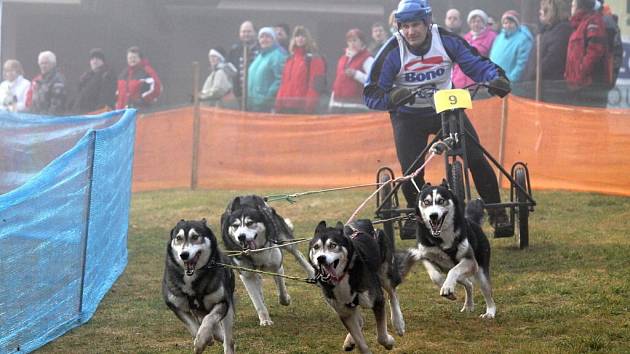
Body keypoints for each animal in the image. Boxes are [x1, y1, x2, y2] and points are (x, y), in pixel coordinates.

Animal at [163, 218, 237, 354]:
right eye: (178, 238)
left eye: (195, 237)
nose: (184, 255)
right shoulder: (174, 305)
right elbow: (192, 325)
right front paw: (203, 339)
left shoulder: (222, 302)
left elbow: (209, 319)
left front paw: (201, 341)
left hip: (228, 309)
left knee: (228, 339)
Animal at [221, 195, 314, 324]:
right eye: (235, 225)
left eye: (250, 223)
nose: (241, 237)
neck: (256, 252)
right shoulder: (246, 275)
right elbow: (257, 301)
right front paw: (265, 320)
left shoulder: (277, 266)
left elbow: (281, 289)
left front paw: (286, 299)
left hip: (285, 241)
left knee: (298, 254)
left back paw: (311, 272)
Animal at [310, 220, 422, 352]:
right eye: (316, 247)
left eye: (333, 245)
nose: (320, 258)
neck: (344, 276)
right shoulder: (344, 312)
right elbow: (361, 343)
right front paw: (356, 341)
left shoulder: (377, 300)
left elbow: (381, 336)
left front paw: (389, 342)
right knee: (359, 320)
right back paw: (350, 340)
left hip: (385, 274)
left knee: (392, 294)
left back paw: (398, 323)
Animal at [418, 181, 502, 320]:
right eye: (426, 202)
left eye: (441, 201)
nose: (433, 216)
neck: (441, 239)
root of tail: (472, 221)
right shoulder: (426, 256)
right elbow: (435, 275)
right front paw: (445, 286)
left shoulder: (470, 261)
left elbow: (454, 271)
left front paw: (447, 287)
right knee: (468, 283)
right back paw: (468, 305)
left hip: (480, 270)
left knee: (487, 292)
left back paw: (490, 312)